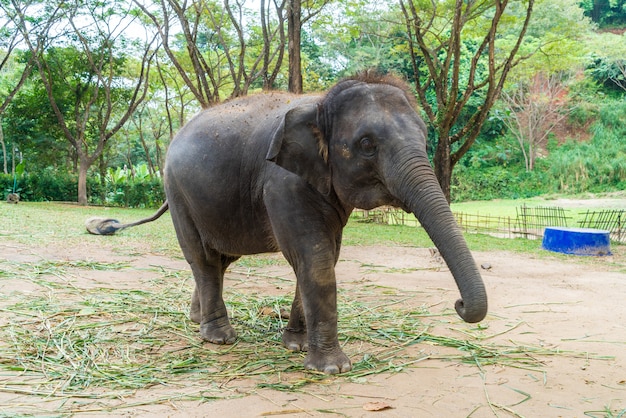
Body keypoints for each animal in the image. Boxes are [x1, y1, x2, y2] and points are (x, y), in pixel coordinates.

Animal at [86, 70, 488, 374]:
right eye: (367, 144)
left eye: (424, 137)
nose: (458, 304)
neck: (321, 102)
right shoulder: (282, 182)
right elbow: (315, 257)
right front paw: (332, 368)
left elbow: (324, 256)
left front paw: (294, 344)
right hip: (179, 191)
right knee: (203, 258)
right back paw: (218, 337)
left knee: (219, 260)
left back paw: (196, 319)